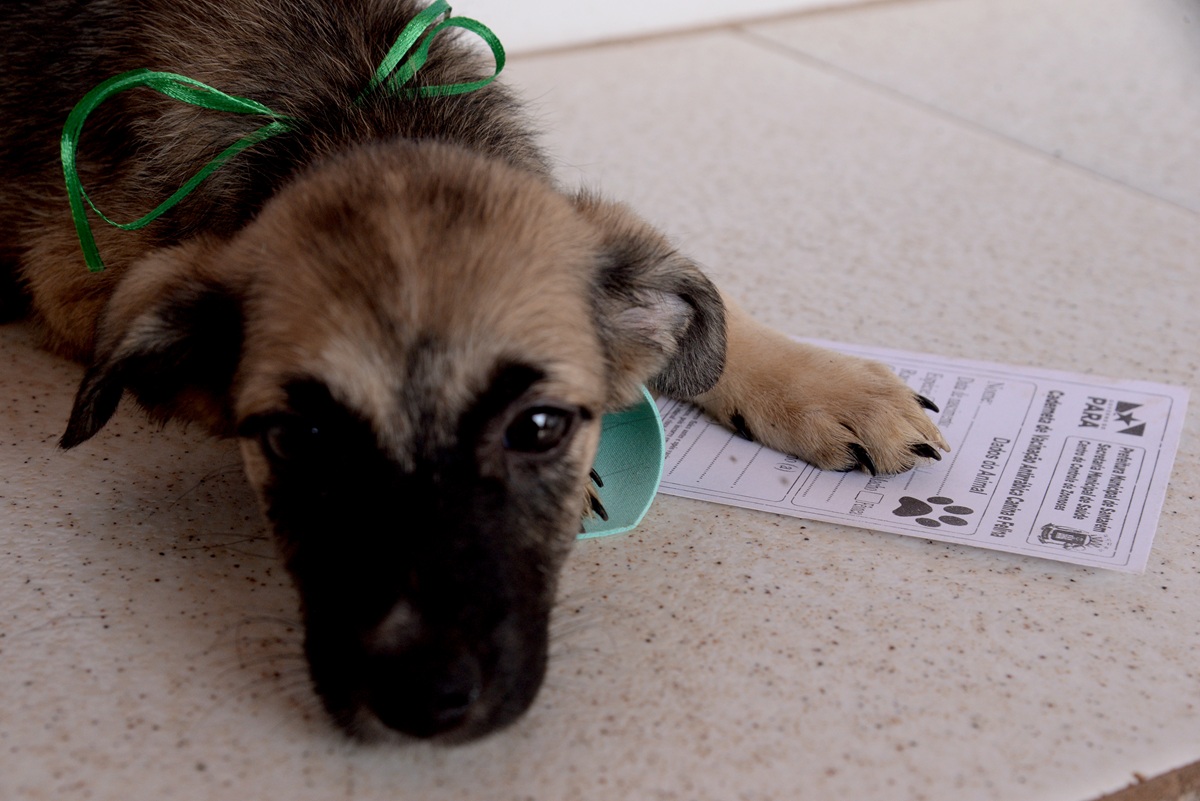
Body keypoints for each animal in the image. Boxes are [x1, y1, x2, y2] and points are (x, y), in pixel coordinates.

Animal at [4, 0, 950, 743]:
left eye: (540, 426)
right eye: (299, 437)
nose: (426, 703)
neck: (363, 108)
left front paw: (828, 384)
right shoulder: (74, 281)